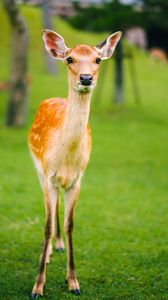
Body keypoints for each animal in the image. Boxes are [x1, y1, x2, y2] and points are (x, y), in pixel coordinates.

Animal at [28, 27, 121, 298]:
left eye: (98, 59)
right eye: (70, 59)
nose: (86, 77)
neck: (67, 158)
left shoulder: (78, 178)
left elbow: (70, 225)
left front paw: (73, 282)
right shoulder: (48, 173)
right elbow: (47, 225)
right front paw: (38, 286)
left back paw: (57, 246)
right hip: (38, 168)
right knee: (48, 211)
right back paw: (49, 251)